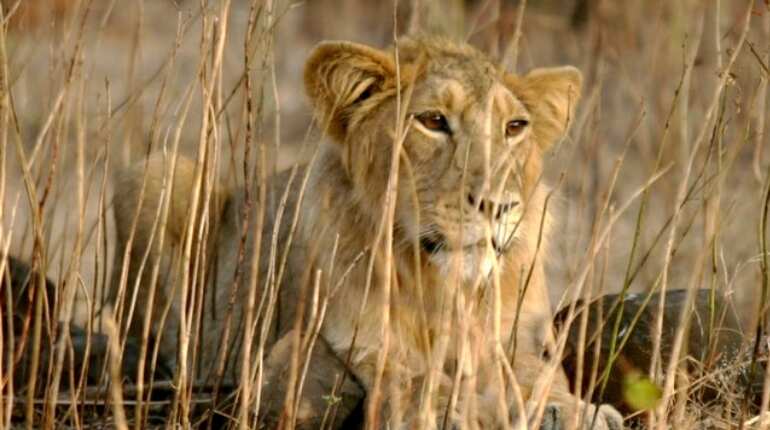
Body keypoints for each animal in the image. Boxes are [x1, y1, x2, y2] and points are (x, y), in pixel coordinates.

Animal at [111, 35, 624, 429]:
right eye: (433, 121)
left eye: (515, 127)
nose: (499, 206)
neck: (444, 286)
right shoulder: (365, 343)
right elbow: (419, 383)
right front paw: (456, 412)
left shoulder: (519, 336)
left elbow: (536, 376)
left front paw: (572, 411)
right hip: (155, 173)